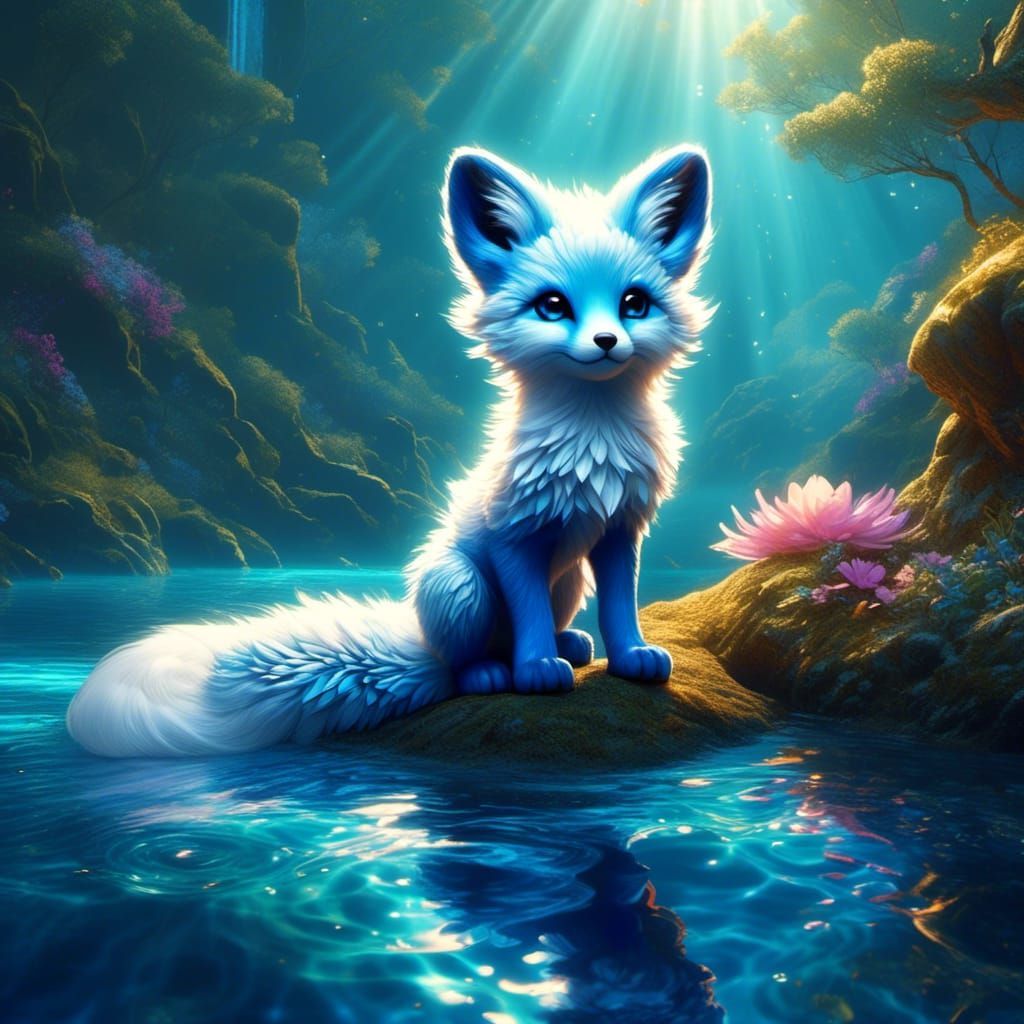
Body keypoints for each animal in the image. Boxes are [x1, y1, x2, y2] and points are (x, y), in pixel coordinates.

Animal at [66, 143, 714, 757]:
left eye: (634, 303)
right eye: (553, 306)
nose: (606, 342)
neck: (591, 441)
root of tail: (419, 638)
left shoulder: (618, 531)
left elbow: (621, 607)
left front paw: (633, 659)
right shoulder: (512, 538)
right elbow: (527, 610)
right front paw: (534, 672)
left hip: (569, 578)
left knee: (542, 626)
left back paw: (572, 644)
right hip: (459, 585)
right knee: (460, 664)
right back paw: (497, 671)